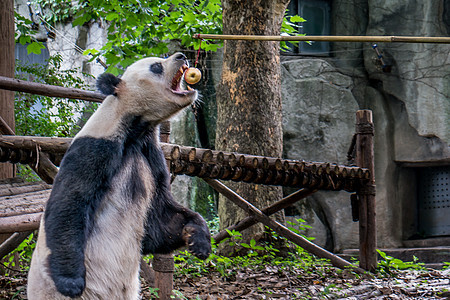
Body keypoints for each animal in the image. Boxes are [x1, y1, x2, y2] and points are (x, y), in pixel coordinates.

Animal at [27, 52, 212, 298]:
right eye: (156, 66)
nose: (182, 56)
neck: (134, 129)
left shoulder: (151, 154)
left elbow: (160, 218)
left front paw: (197, 239)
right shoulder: (95, 148)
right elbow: (69, 203)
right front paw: (71, 282)